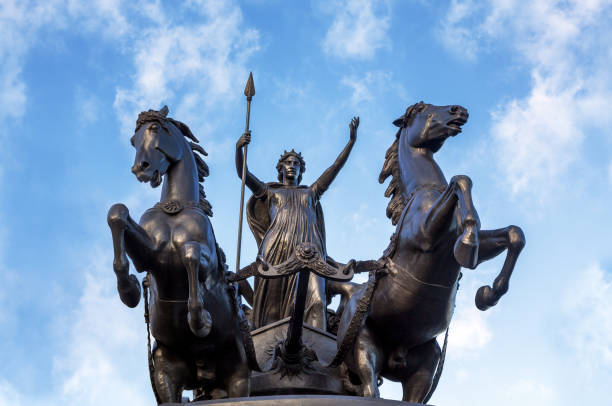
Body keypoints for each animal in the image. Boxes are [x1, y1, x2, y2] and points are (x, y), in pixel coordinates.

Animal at [107, 107, 249, 402]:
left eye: (154, 129)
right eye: (133, 140)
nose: (140, 169)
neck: (176, 207)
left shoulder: (206, 260)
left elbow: (190, 254)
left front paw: (200, 320)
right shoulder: (150, 256)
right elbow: (117, 213)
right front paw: (129, 289)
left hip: (239, 375)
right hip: (165, 373)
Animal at [338, 102, 524, 402]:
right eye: (421, 109)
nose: (459, 110)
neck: (425, 191)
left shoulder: (460, 241)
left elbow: (514, 234)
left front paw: (488, 294)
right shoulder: (426, 233)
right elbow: (461, 180)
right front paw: (468, 244)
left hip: (426, 365)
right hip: (363, 348)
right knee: (370, 390)